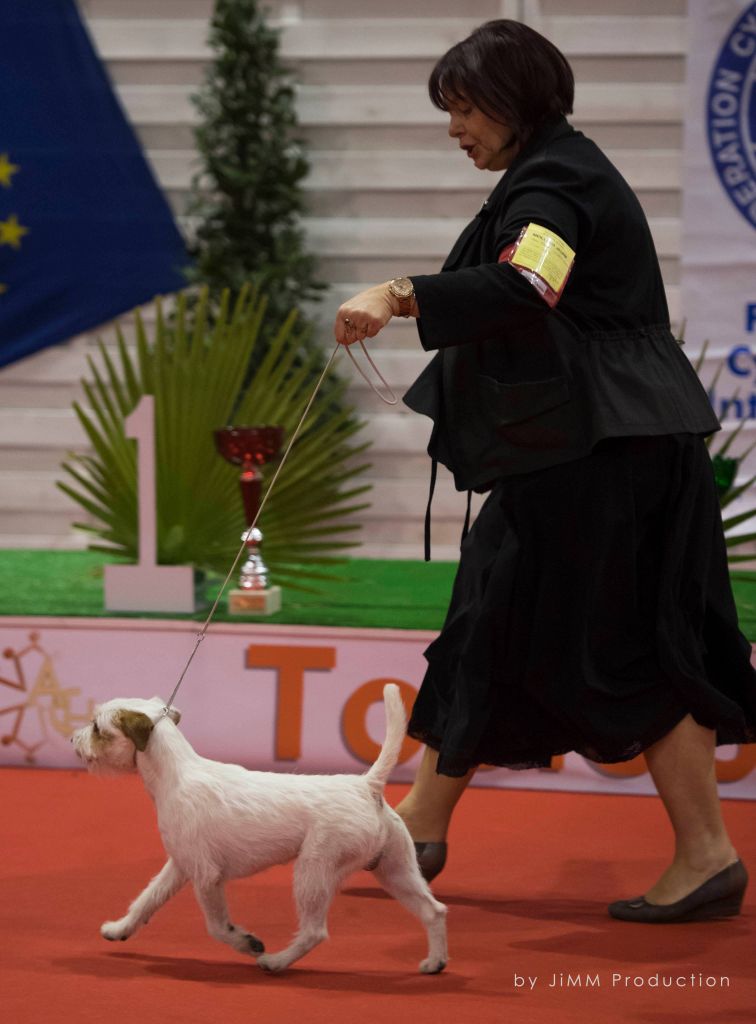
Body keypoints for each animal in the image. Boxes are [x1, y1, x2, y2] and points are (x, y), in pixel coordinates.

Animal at [69, 684, 446, 970]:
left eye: (97, 727)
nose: (73, 740)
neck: (174, 775)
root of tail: (366, 786)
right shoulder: (180, 865)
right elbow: (147, 900)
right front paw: (119, 929)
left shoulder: (206, 877)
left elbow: (217, 926)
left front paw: (247, 942)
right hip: (396, 870)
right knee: (434, 911)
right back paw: (435, 963)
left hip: (314, 872)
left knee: (314, 932)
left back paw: (275, 961)